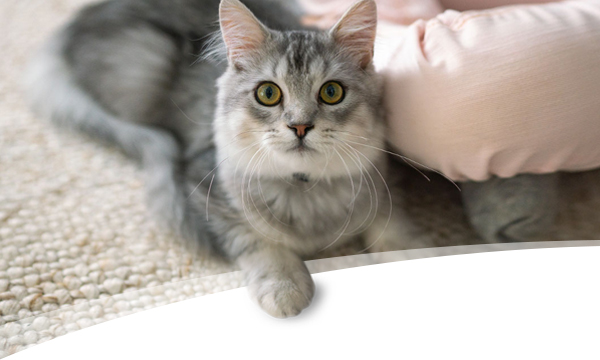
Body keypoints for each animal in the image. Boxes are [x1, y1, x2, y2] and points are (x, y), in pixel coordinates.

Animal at [24, 0, 426, 318]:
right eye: (268, 94)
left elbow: (394, 226)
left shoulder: (381, 182)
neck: (305, 188)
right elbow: (260, 244)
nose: (299, 126)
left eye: (331, 92)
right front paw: (285, 287)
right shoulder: (209, 195)